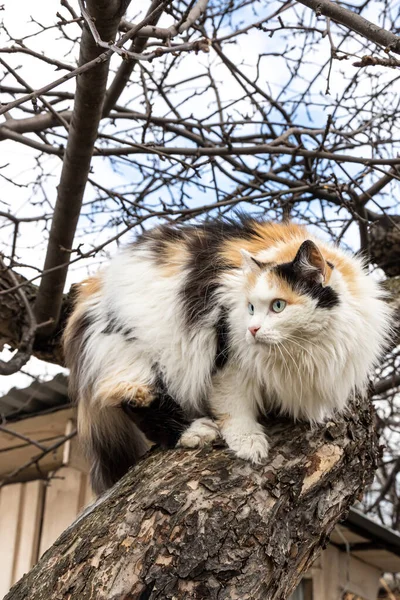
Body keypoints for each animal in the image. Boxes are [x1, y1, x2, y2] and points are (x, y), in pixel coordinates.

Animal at [64, 216, 392, 492]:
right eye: (250, 308)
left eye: (278, 306)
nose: (252, 329)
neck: (307, 347)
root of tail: (93, 288)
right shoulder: (227, 356)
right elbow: (234, 406)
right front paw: (249, 444)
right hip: (135, 352)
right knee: (134, 396)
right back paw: (193, 432)